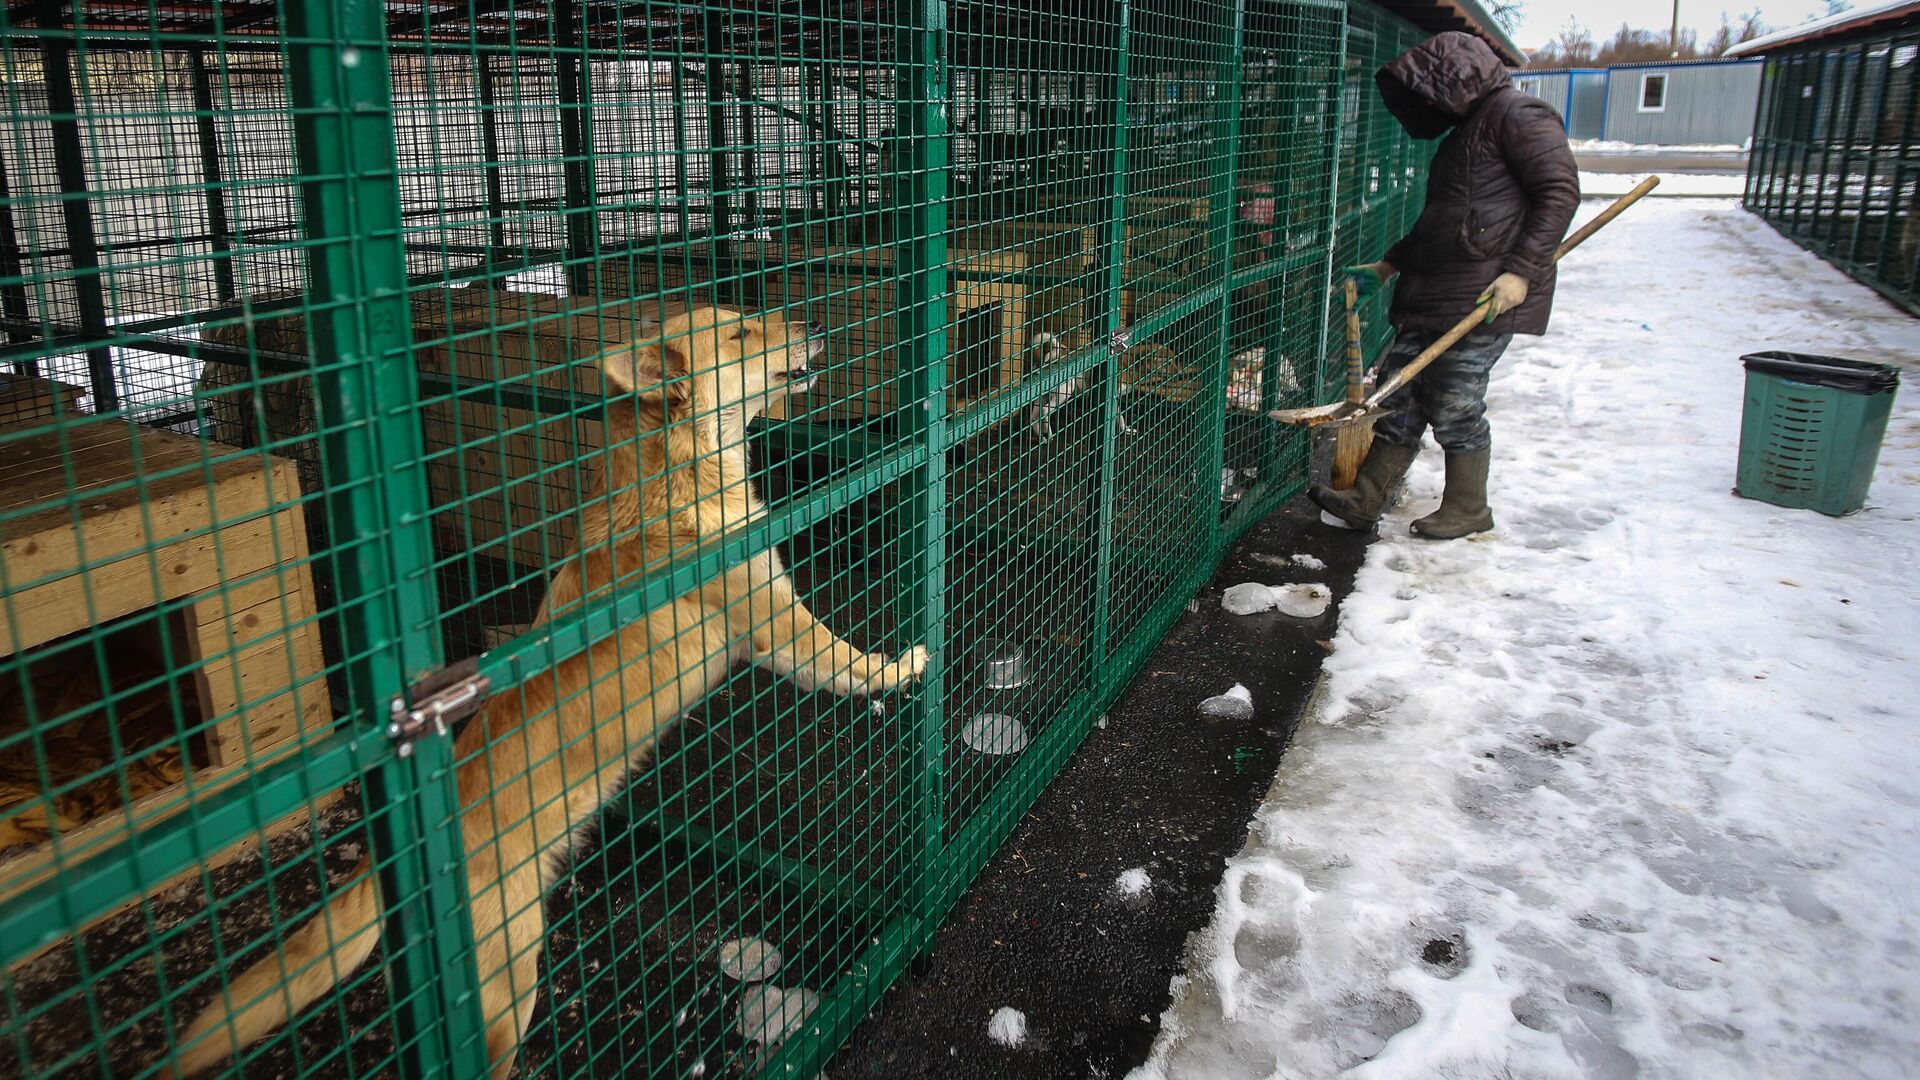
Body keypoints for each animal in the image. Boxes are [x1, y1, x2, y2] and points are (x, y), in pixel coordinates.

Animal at [161, 303, 925, 1076]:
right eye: (739, 334)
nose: (813, 323)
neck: (677, 475)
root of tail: (396, 855)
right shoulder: (782, 630)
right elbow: (851, 662)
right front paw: (905, 666)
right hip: (509, 992)